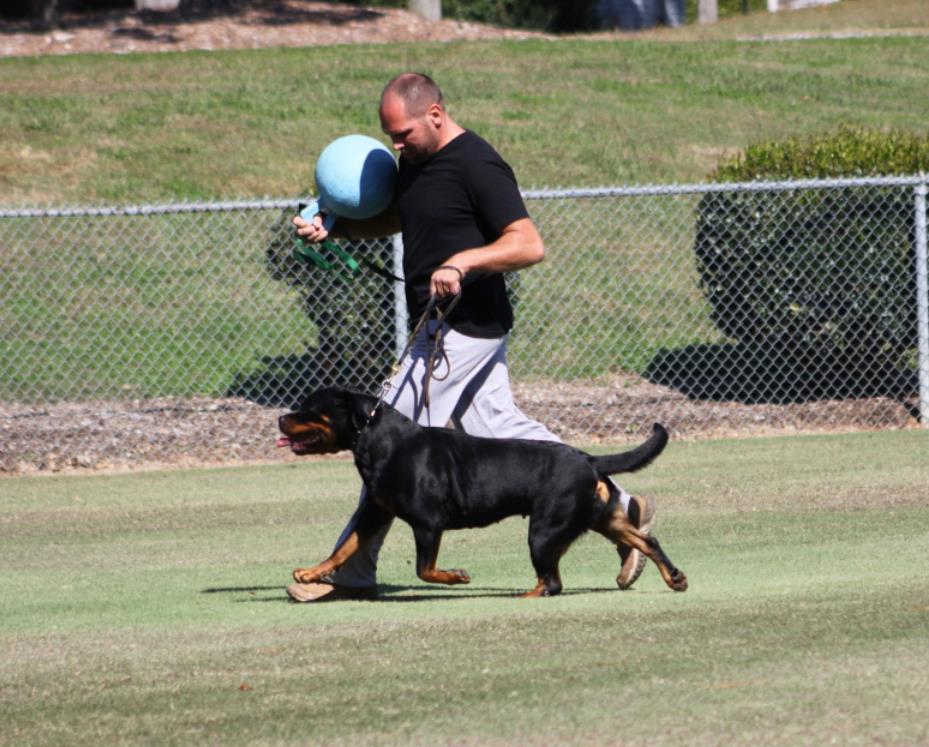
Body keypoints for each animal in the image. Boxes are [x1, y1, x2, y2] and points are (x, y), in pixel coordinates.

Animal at [280, 388, 684, 600]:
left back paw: (524, 596)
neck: (381, 442)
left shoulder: (428, 522)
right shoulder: (375, 513)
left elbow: (424, 569)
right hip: (598, 517)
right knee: (645, 540)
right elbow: (344, 547)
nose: (281, 418)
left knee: (553, 581)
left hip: (544, 530)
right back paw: (674, 577)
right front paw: (311, 574)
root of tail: (588, 459)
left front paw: (456, 577)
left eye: (309, 408)